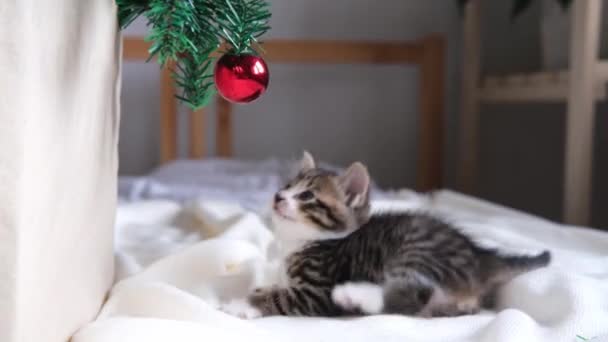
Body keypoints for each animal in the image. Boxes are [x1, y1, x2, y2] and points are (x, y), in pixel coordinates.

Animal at [220, 152, 552, 318]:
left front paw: (243, 304)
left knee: (413, 295)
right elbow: (277, 286)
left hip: (417, 251)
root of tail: (481, 258)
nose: (277, 196)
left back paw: (354, 296)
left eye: (307, 196)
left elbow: (281, 296)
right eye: (287, 186)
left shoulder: (317, 291)